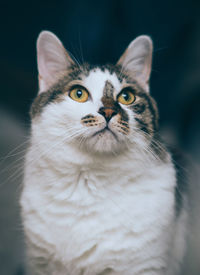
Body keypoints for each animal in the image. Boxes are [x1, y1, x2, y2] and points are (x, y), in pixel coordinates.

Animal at [20, 31, 188, 274]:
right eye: (78, 93)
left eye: (127, 97)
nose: (109, 111)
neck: (92, 181)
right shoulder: (39, 261)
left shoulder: (145, 265)